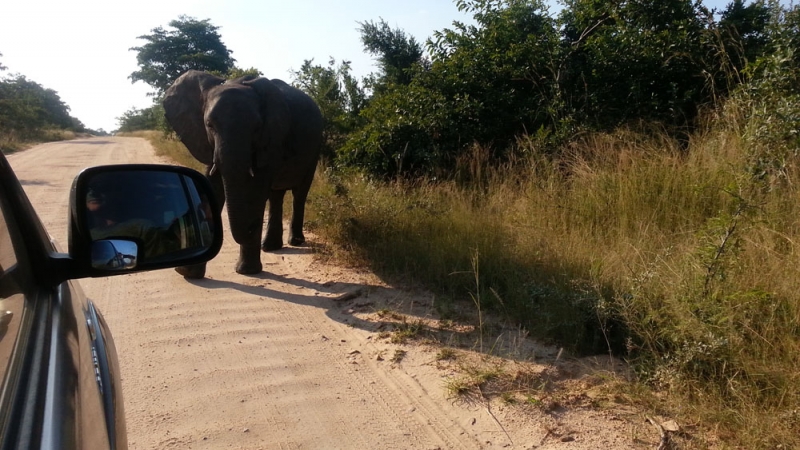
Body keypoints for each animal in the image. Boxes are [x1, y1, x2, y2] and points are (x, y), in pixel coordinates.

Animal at [162, 69, 322, 278]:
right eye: (209, 125)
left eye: (256, 128)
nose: (251, 227)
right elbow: (213, 186)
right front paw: (188, 273)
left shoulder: (271, 138)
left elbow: (256, 193)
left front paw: (247, 272)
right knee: (276, 196)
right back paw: (269, 247)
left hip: (315, 148)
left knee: (299, 193)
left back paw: (294, 241)